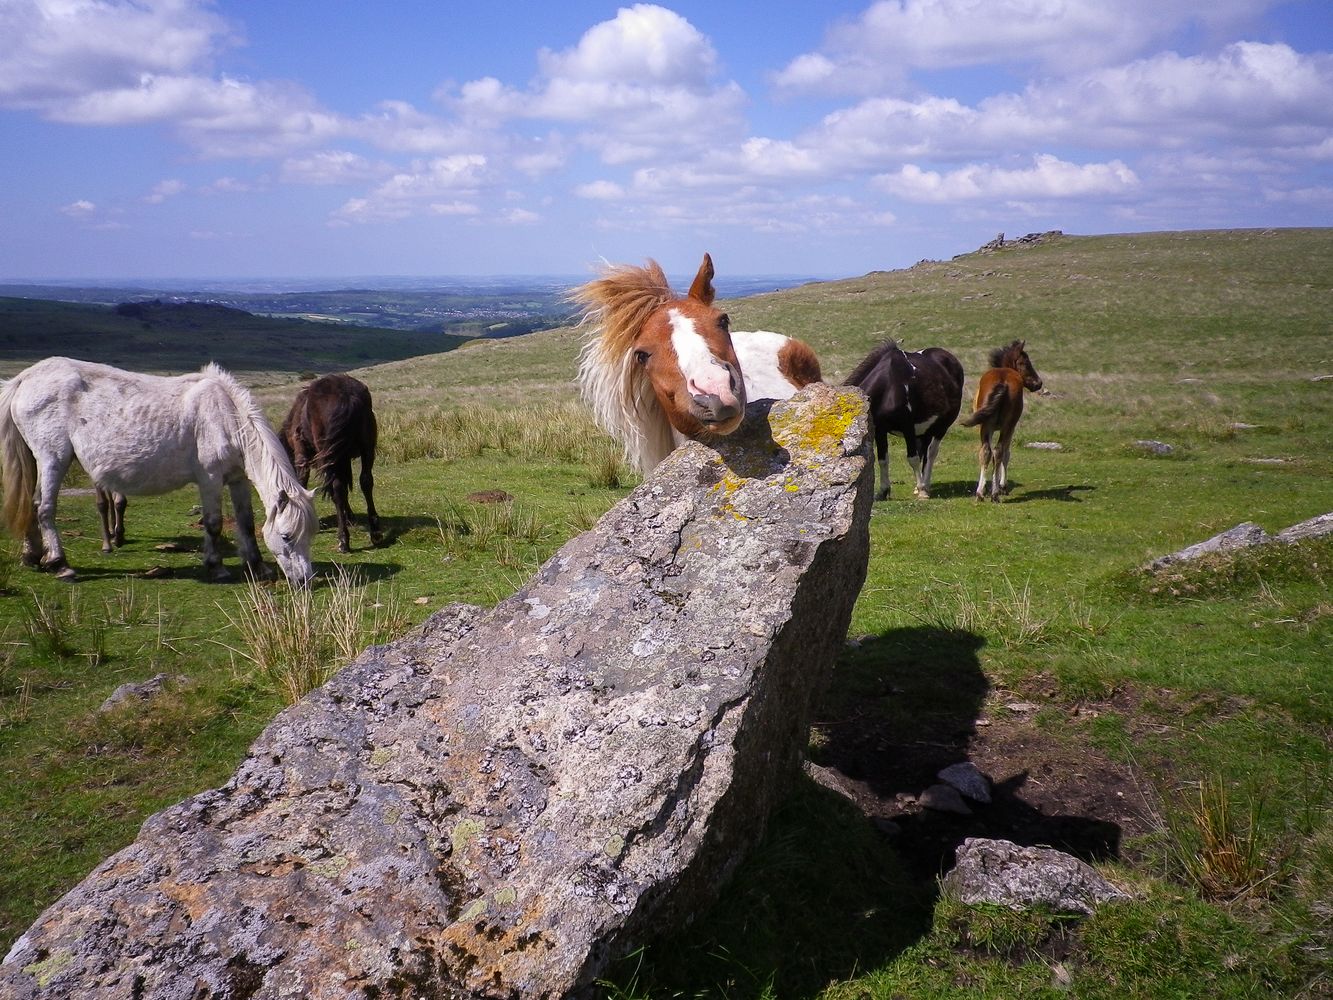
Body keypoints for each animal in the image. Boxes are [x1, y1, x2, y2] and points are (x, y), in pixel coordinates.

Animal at [0, 357, 317, 586]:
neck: (225, 417)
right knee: (44, 507)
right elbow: (213, 523)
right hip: (52, 458)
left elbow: (247, 523)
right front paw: (216, 567)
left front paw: (257, 566)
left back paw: (33, 556)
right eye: (287, 536)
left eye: (310, 534)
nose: (304, 580)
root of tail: (24, 379)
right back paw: (61, 564)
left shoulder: (237, 480)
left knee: (31, 504)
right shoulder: (210, 480)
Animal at [279, 373, 381, 552]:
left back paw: (343, 540)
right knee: (366, 481)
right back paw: (375, 532)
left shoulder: (302, 456)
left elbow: (302, 482)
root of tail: (347, 396)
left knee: (337, 488)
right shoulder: (343, 458)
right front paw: (350, 516)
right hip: (366, 447)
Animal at [842, 341, 959, 501]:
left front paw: (922, 491)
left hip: (942, 427)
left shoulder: (908, 427)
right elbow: (883, 459)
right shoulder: (880, 429)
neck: (888, 387)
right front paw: (883, 491)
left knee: (931, 453)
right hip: (925, 429)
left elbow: (913, 458)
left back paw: (925, 487)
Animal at [965, 344, 1045, 501]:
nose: (1038, 383)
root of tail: (1002, 381)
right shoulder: (1011, 428)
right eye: (1025, 362)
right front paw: (1002, 486)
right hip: (1007, 426)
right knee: (999, 451)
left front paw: (986, 487)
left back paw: (980, 493)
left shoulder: (988, 427)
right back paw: (996, 493)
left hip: (986, 426)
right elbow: (1006, 455)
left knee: (986, 452)